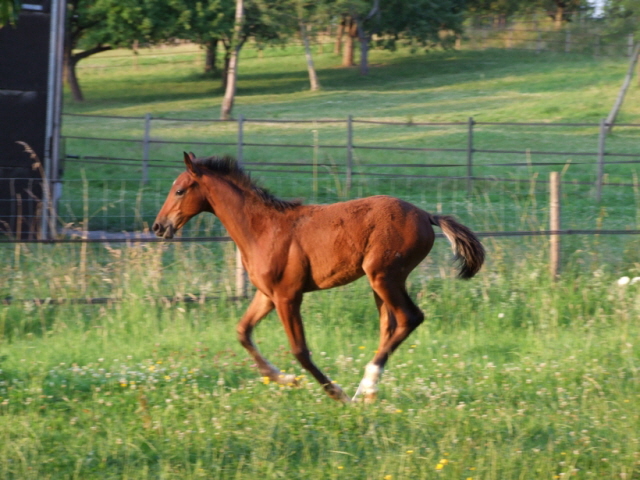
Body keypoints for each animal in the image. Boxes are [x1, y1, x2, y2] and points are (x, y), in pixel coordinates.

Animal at [154, 153, 484, 402]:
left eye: (180, 190)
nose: (159, 226)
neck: (262, 228)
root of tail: (427, 215)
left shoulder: (288, 295)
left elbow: (300, 350)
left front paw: (335, 392)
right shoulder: (267, 295)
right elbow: (243, 332)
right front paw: (285, 379)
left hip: (384, 275)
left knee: (410, 318)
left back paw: (364, 386)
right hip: (382, 282)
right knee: (389, 326)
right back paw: (368, 393)